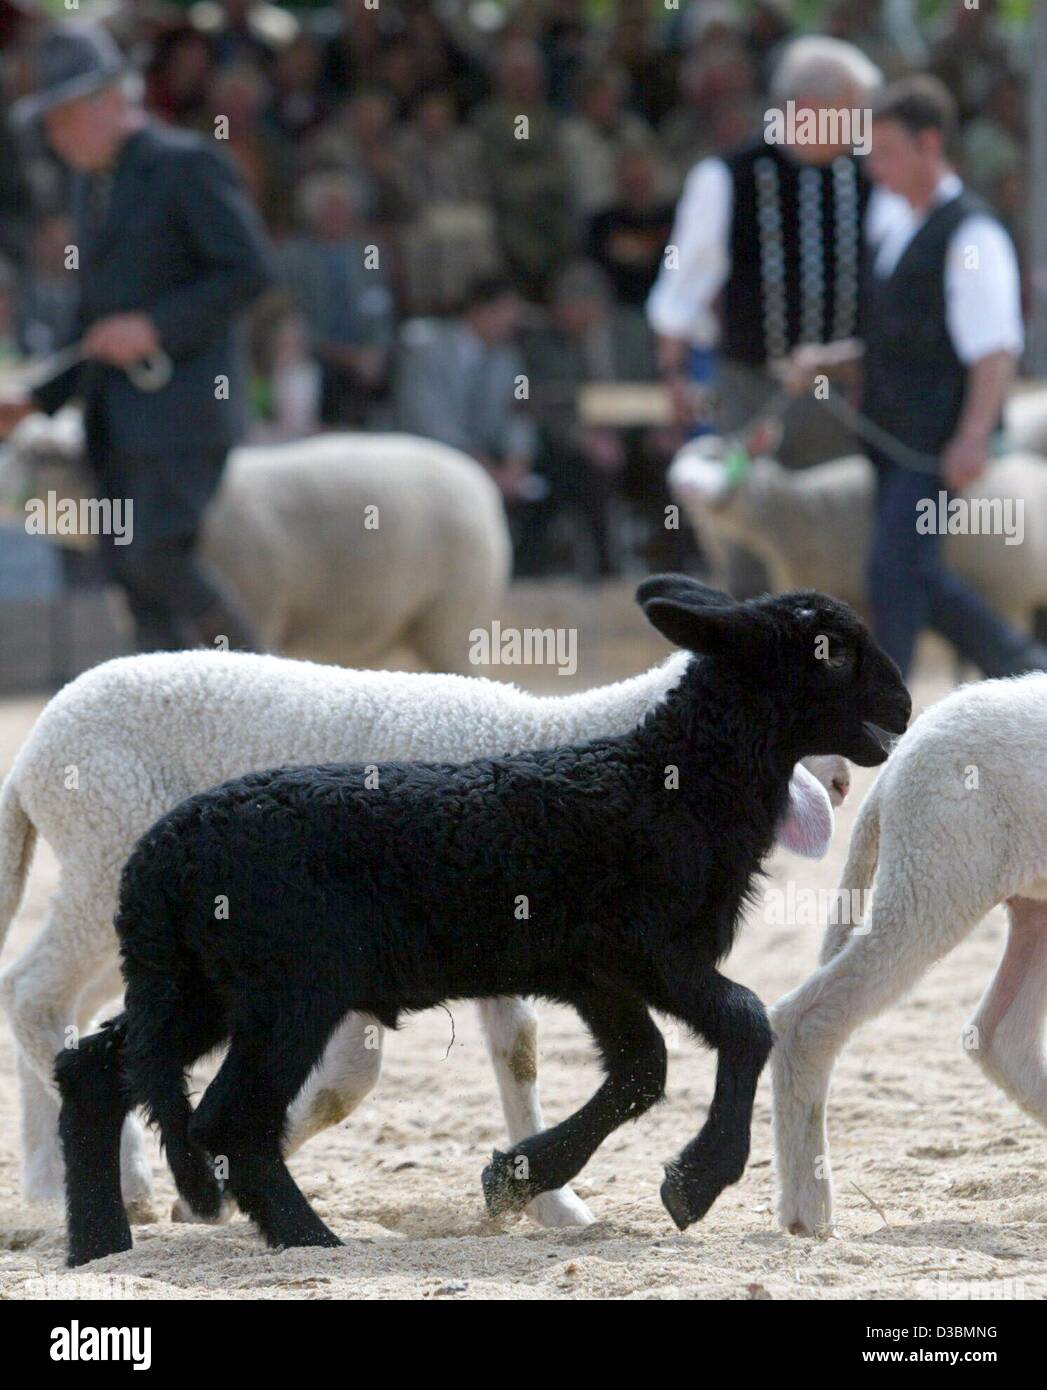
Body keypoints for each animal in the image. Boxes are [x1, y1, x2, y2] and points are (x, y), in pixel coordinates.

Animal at [0, 644, 850, 1223]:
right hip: (104, 852)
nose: (844, 780)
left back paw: (57, 1177)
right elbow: (348, 1081)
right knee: (34, 993)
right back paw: (125, 1182)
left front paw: (542, 1201)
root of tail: (31, 751)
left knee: (66, 1007)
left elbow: (519, 1055)